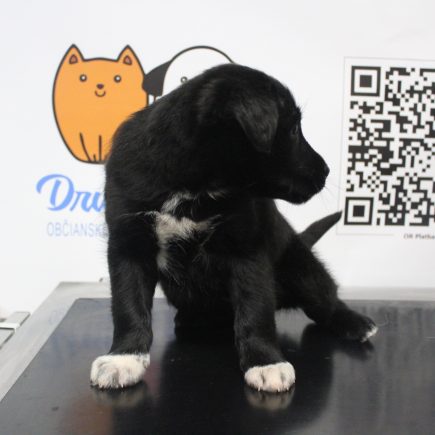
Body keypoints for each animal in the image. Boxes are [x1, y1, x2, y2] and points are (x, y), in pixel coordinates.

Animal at [90, 64, 377, 393]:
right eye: (293, 130)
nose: (327, 170)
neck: (193, 184)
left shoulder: (246, 248)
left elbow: (255, 309)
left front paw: (265, 362)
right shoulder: (128, 245)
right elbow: (128, 305)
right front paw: (123, 358)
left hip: (304, 271)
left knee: (326, 300)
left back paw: (356, 324)